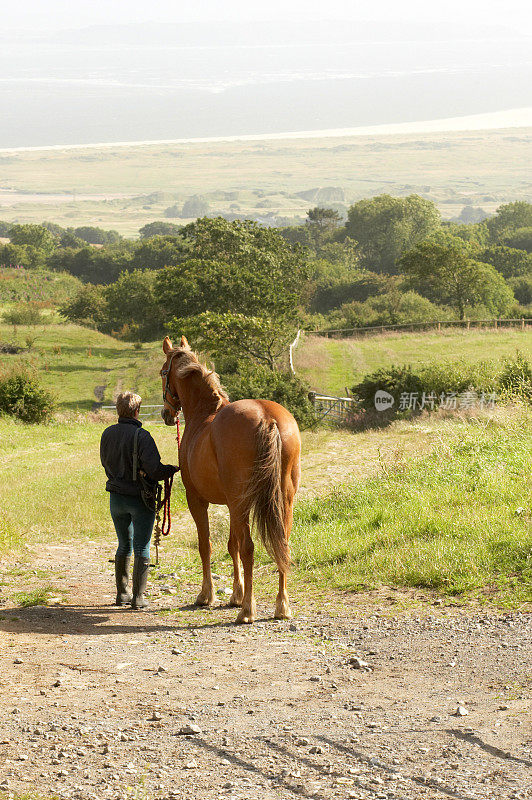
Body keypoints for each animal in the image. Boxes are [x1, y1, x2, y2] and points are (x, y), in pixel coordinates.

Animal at [158, 334, 302, 620]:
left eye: (163, 372)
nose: (166, 414)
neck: (204, 414)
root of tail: (267, 417)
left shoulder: (197, 500)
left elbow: (207, 545)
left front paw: (207, 595)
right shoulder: (231, 504)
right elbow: (231, 544)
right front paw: (236, 594)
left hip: (240, 501)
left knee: (249, 548)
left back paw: (247, 611)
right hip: (280, 500)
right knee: (283, 544)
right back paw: (282, 606)